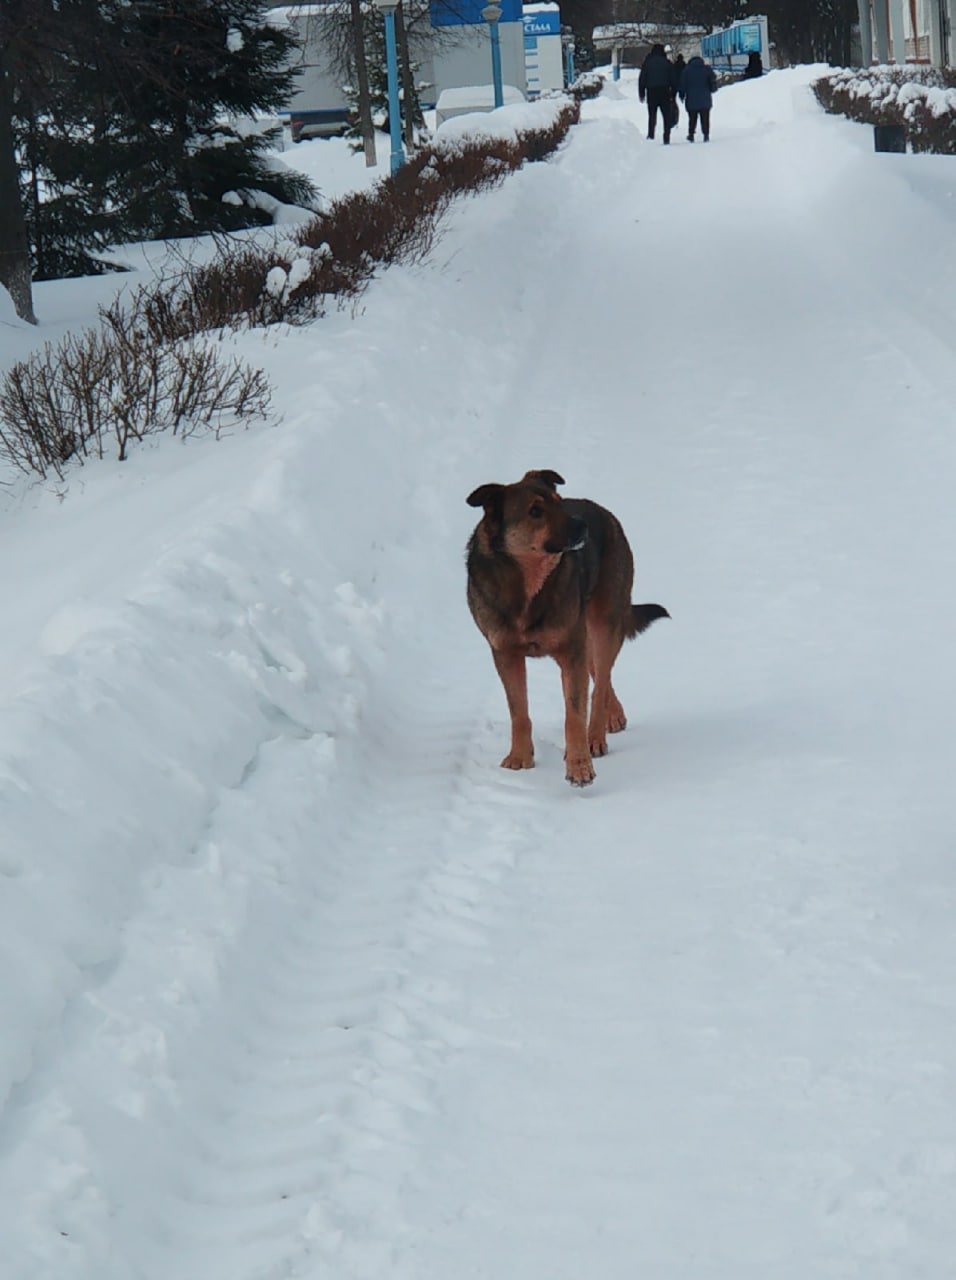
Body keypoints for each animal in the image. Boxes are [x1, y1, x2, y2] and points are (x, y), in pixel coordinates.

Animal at [466, 470, 669, 787]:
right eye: (535, 511)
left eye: (558, 501)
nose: (582, 525)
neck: (527, 586)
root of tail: (602, 511)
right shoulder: (505, 654)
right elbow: (518, 711)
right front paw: (520, 758)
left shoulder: (571, 651)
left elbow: (574, 714)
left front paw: (579, 767)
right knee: (598, 674)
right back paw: (613, 714)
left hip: (604, 623)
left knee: (600, 683)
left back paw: (595, 735)